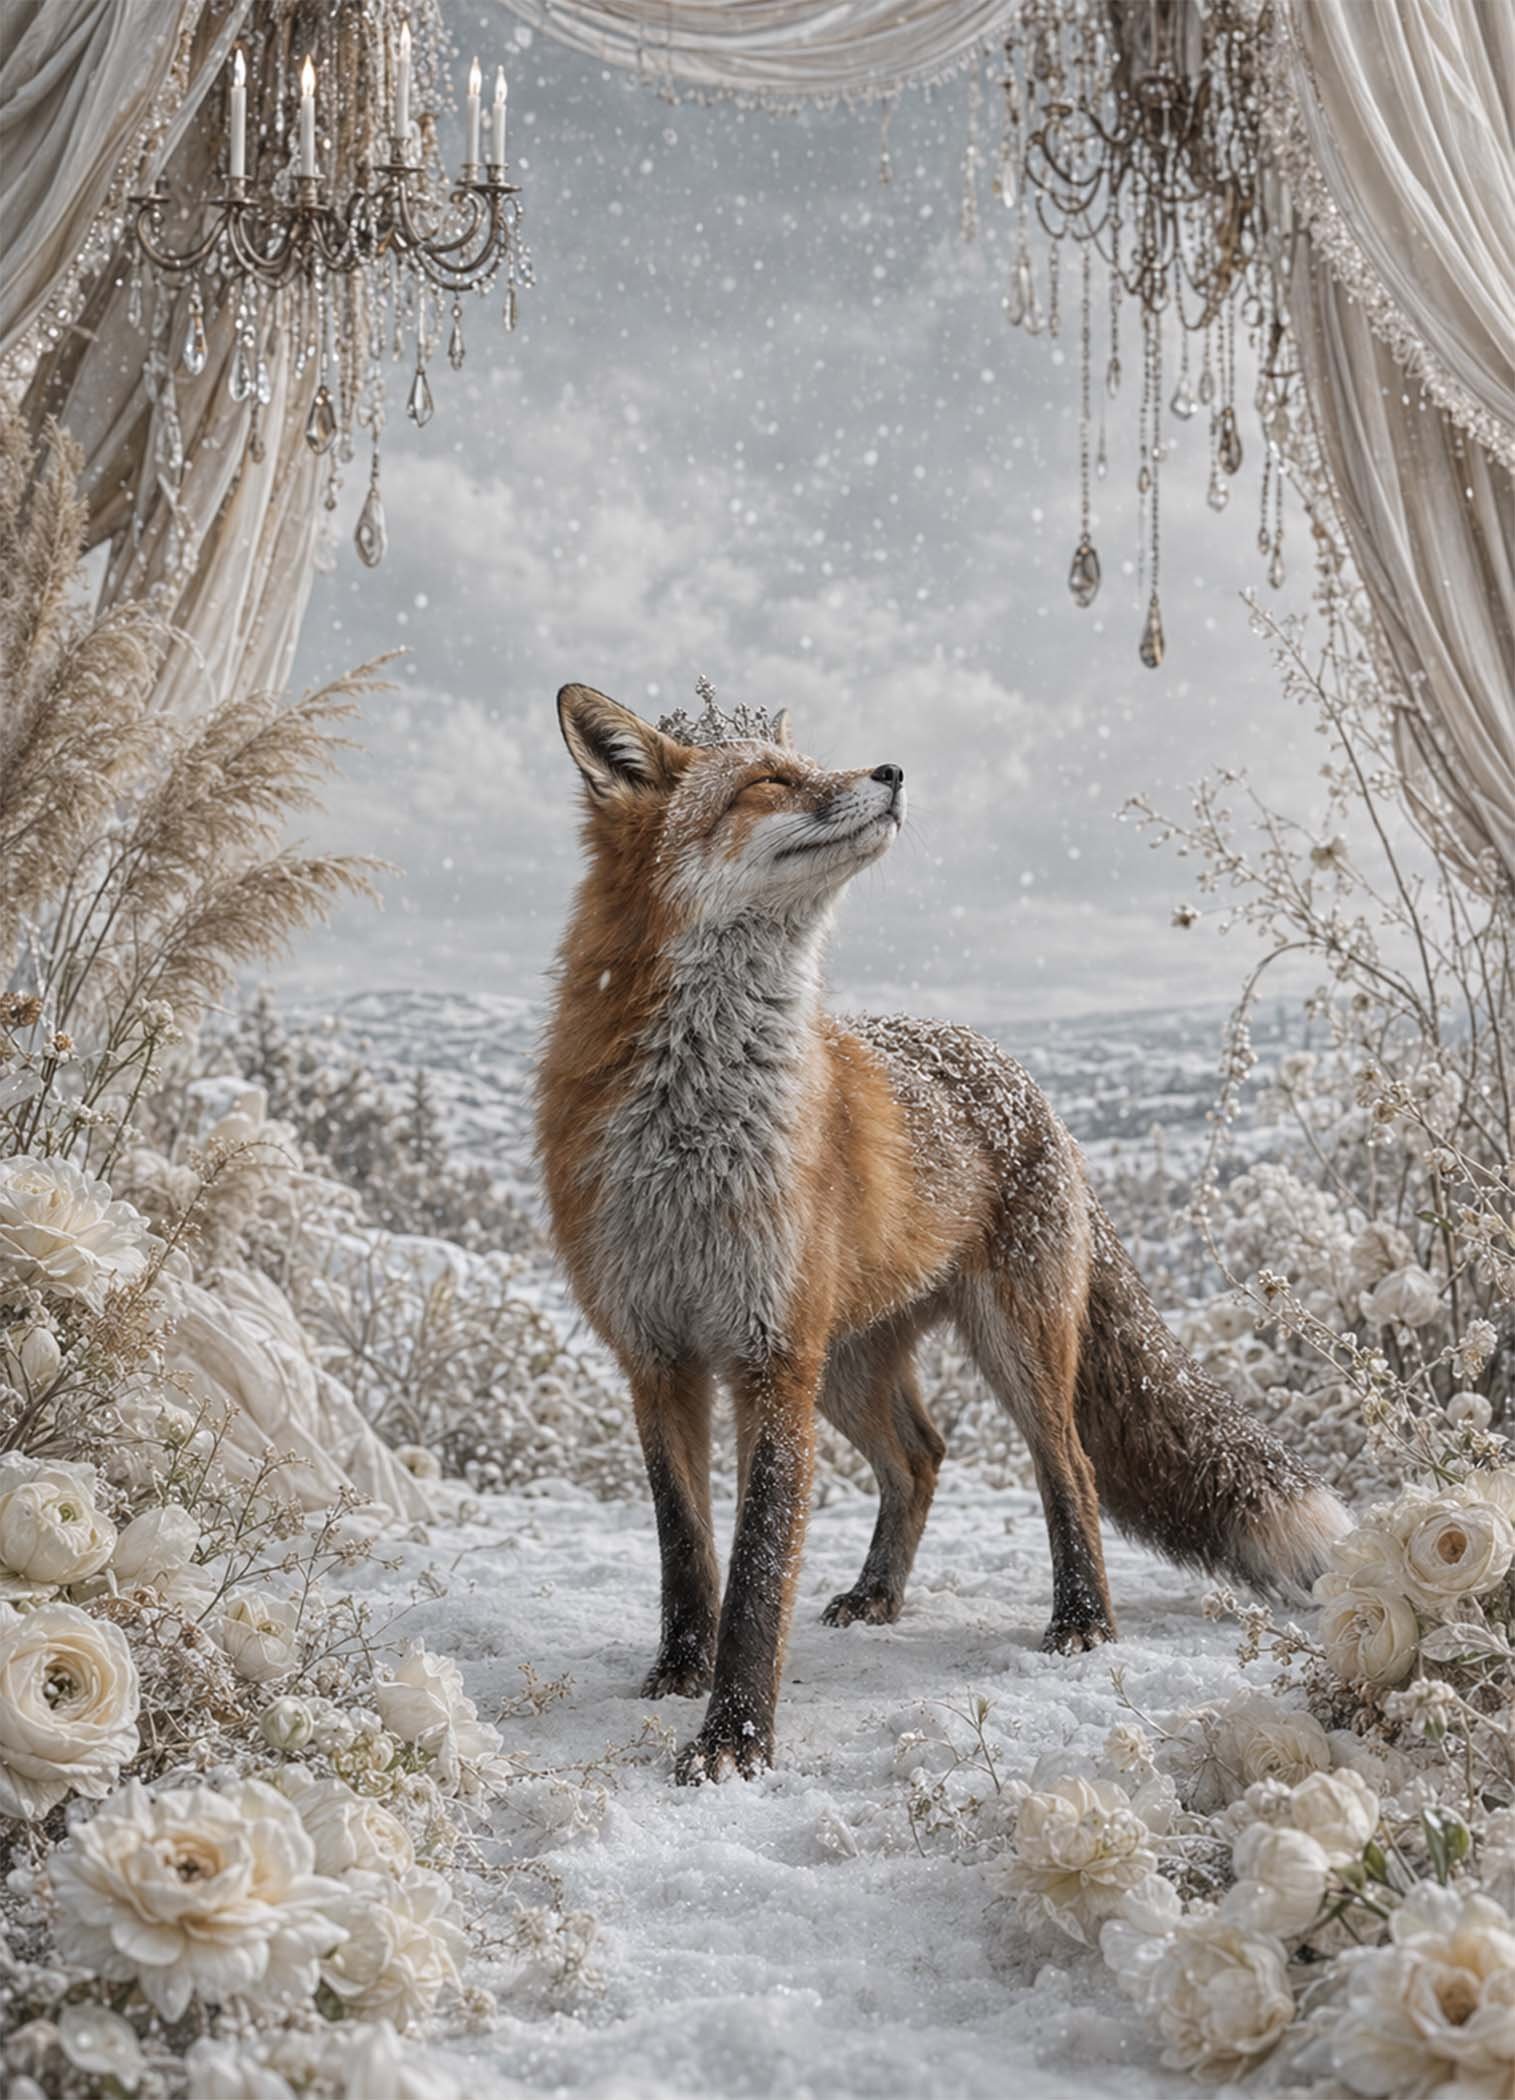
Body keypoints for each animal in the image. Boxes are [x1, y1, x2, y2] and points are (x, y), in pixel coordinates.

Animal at [536, 682, 1350, 1784]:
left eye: (814, 761)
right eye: (771, 781)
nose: (891, 771)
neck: (693, 1135)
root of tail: (1015, 1075)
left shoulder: (770, 1357)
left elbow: (757, 1572)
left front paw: (735, 1737)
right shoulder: (653, 1355)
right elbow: (684, 1551)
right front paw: (676, 1674)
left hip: (1006, 1342)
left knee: (1069, 1467)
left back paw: (1082, 1620)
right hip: (851, 1365)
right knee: (921, 1457)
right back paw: (880, 1595)